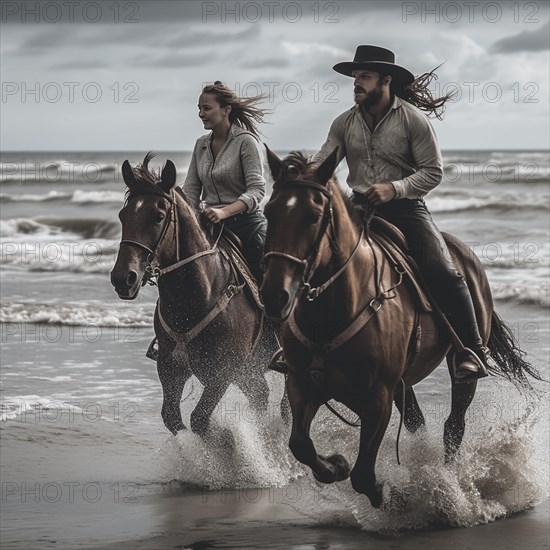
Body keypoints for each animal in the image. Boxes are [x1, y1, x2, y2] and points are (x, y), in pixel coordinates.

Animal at [110, 154, 280, 436]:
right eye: (123, 215)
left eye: (158, 217)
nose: (123, 279)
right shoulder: (170, 368)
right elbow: (172, 418)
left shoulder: (223, 372)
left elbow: (199, 418)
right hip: (250, 372)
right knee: (261, 395)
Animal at [260, 150, 540, 508]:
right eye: (269, 212)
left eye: (313, 216)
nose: (274, 295)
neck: (336, 309)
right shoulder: (301, 385)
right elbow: (300, 444)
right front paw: (336, 465)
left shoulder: (377, 398)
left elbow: (363, 476)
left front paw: (394, 495)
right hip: (401, 384)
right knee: (417, 422)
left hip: (457, 370)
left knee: (454, 425)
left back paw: (450, 482)